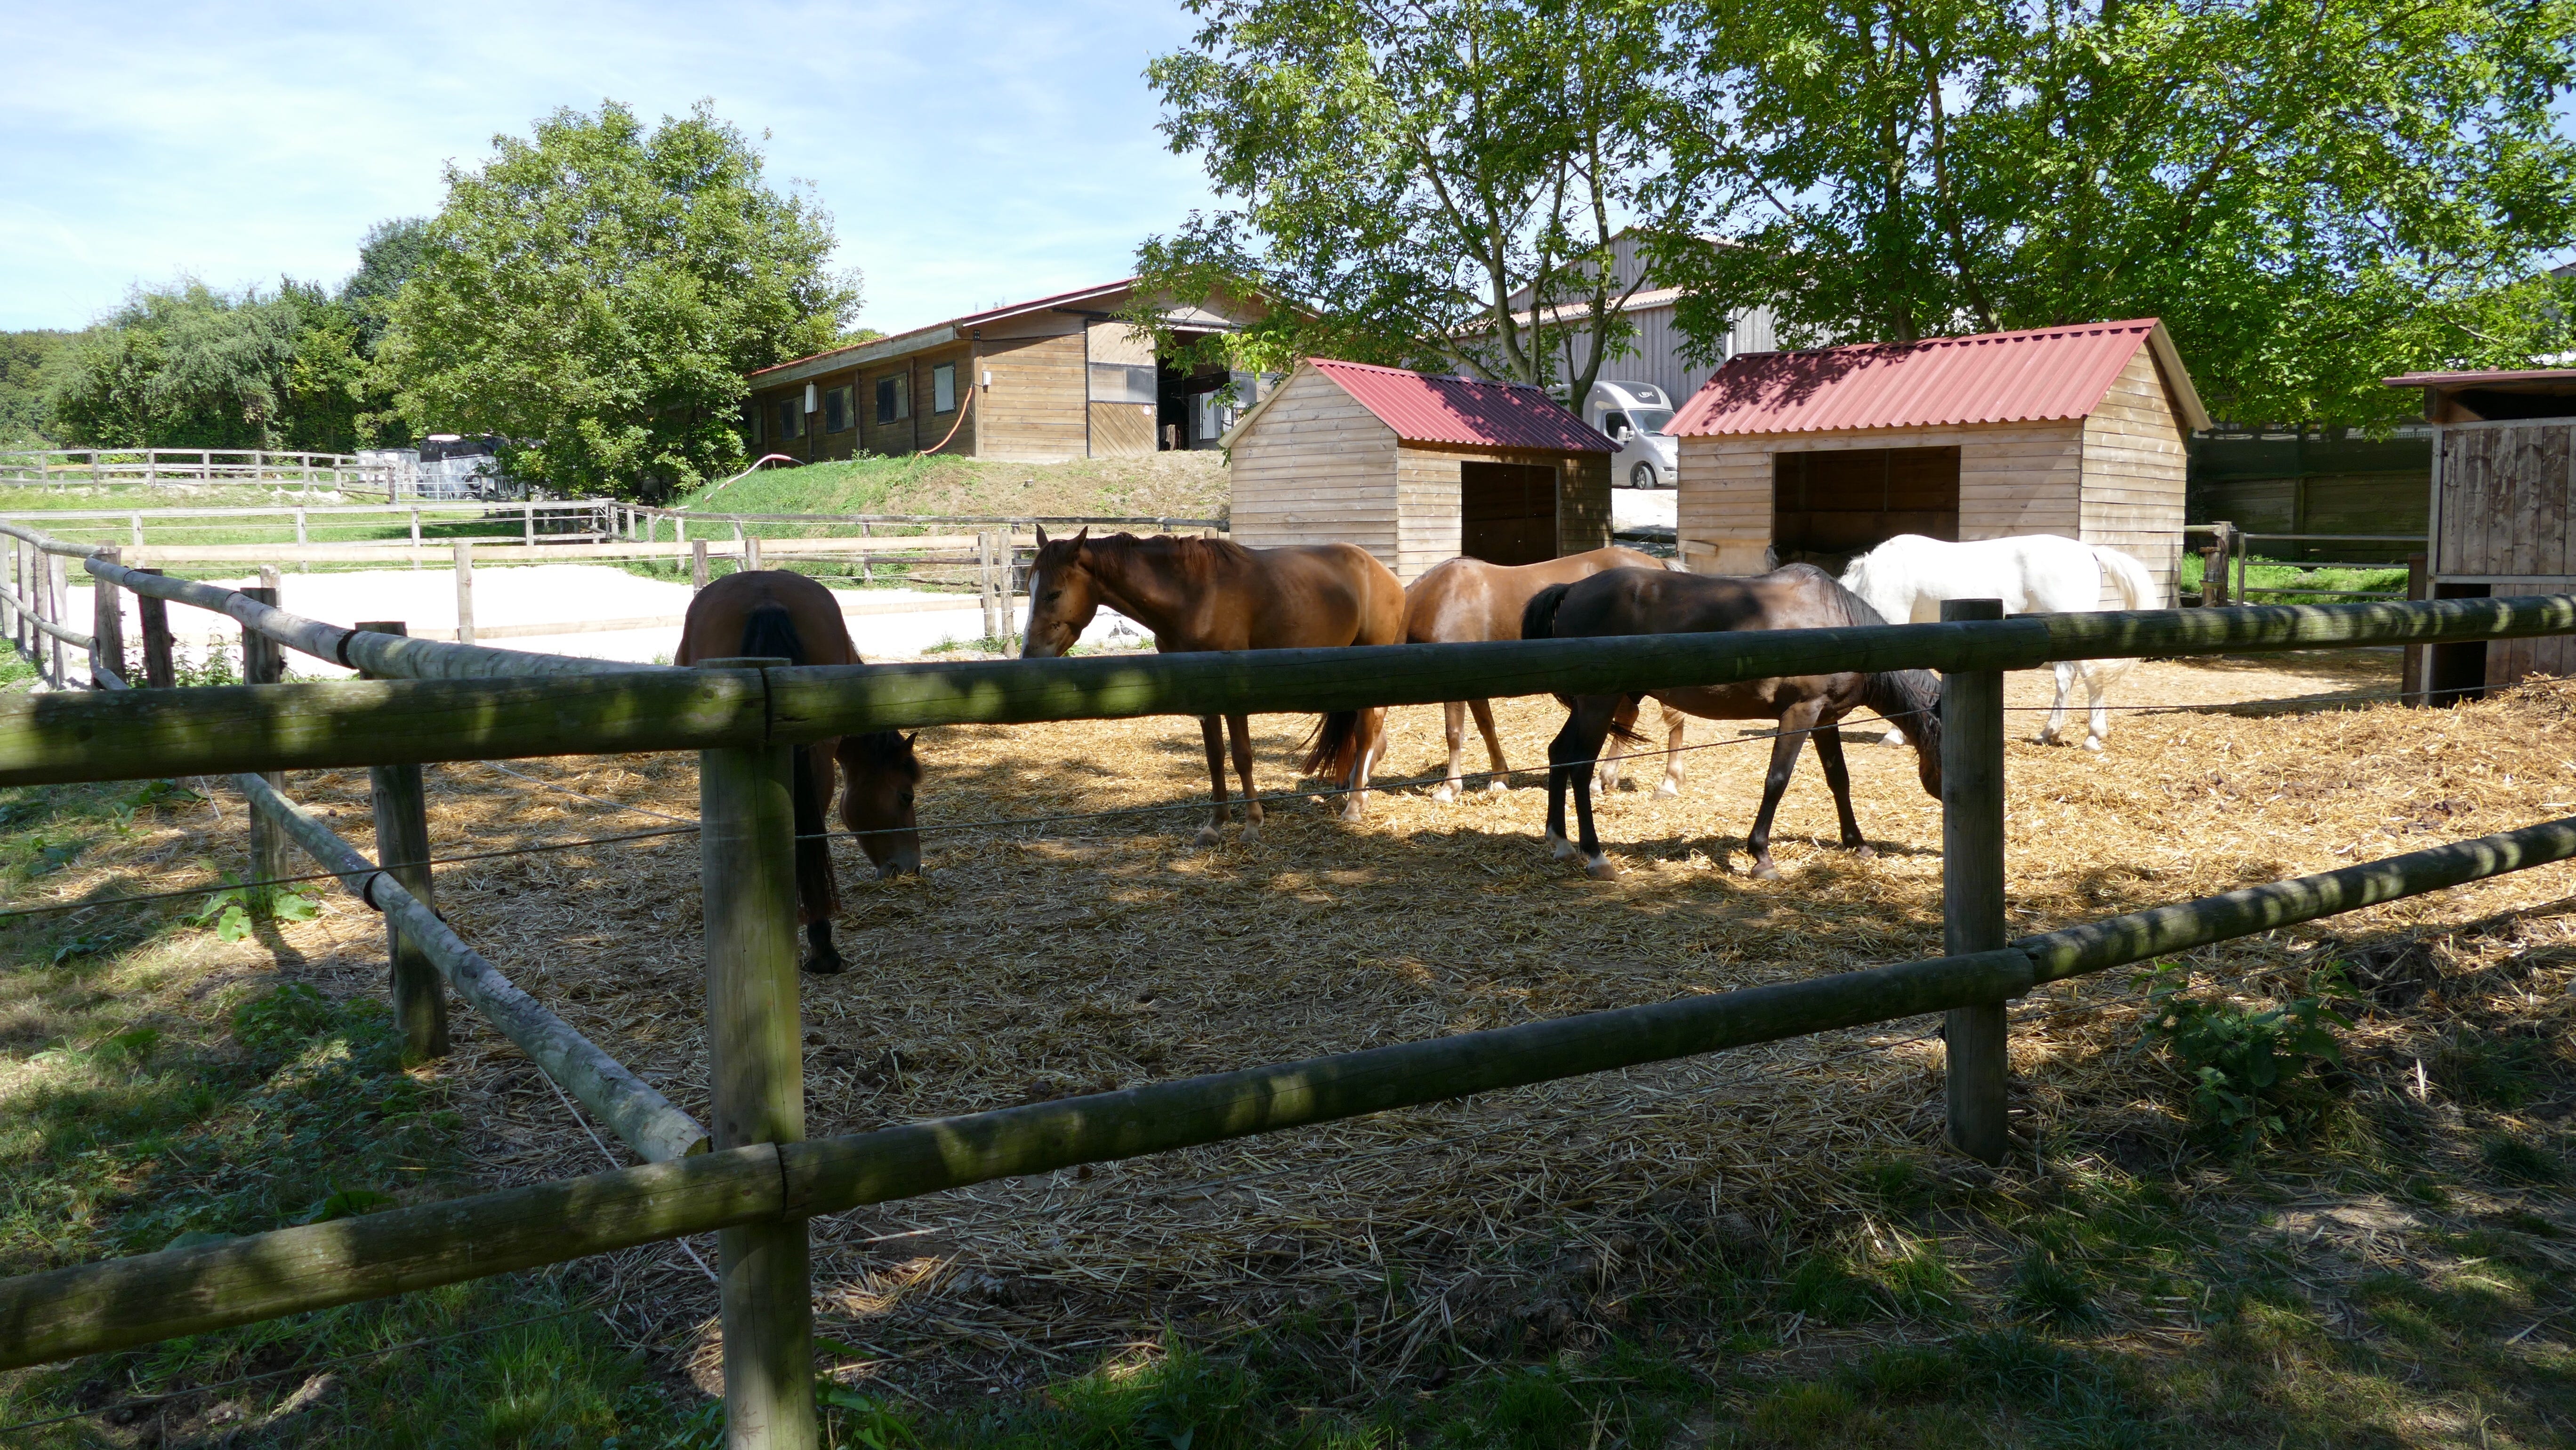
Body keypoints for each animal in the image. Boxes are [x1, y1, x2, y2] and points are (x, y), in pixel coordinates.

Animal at [1010, 530, 1411, 850]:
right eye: (1029, 590)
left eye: (1054, 593)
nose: (1029, 656)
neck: (1193, 594)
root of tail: (1381, 572)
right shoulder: (1203, 694)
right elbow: (1215, 757)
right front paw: (1215, 824)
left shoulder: (1234, 692)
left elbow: (1243, 757)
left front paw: (1252, 824)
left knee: (1367, 733)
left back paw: (1354, 805)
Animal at [1401, 548, 1700, 803]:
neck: (1438, 597)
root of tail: (1659, 566)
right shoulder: (1475, 684)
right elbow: (1487, 728)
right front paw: (1499, 778)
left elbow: (1454, 734)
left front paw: (1449, 789)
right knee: (1632, 717)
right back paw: (1606, 779)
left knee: (1671, 718)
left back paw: (1667, 783)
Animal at [1525, 566, 1937, 886]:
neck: (1839, 628)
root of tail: (1573, 590)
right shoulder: (1800, 714)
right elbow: (1777, 781)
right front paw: (1762, 857)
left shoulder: (1825, 719)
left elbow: (1840, 780)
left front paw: (1858, 844)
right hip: (1599, 703)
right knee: (1580, 767)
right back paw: (1596, 856)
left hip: (1586, 707)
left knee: (1558, 754)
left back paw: (1560, 842)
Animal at [1844, 538, 2164, 757]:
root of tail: (2088, 551)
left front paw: (1895, 735)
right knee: (2066, 679)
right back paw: (2048, 733)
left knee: (2090, 678)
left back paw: (2093, 737)